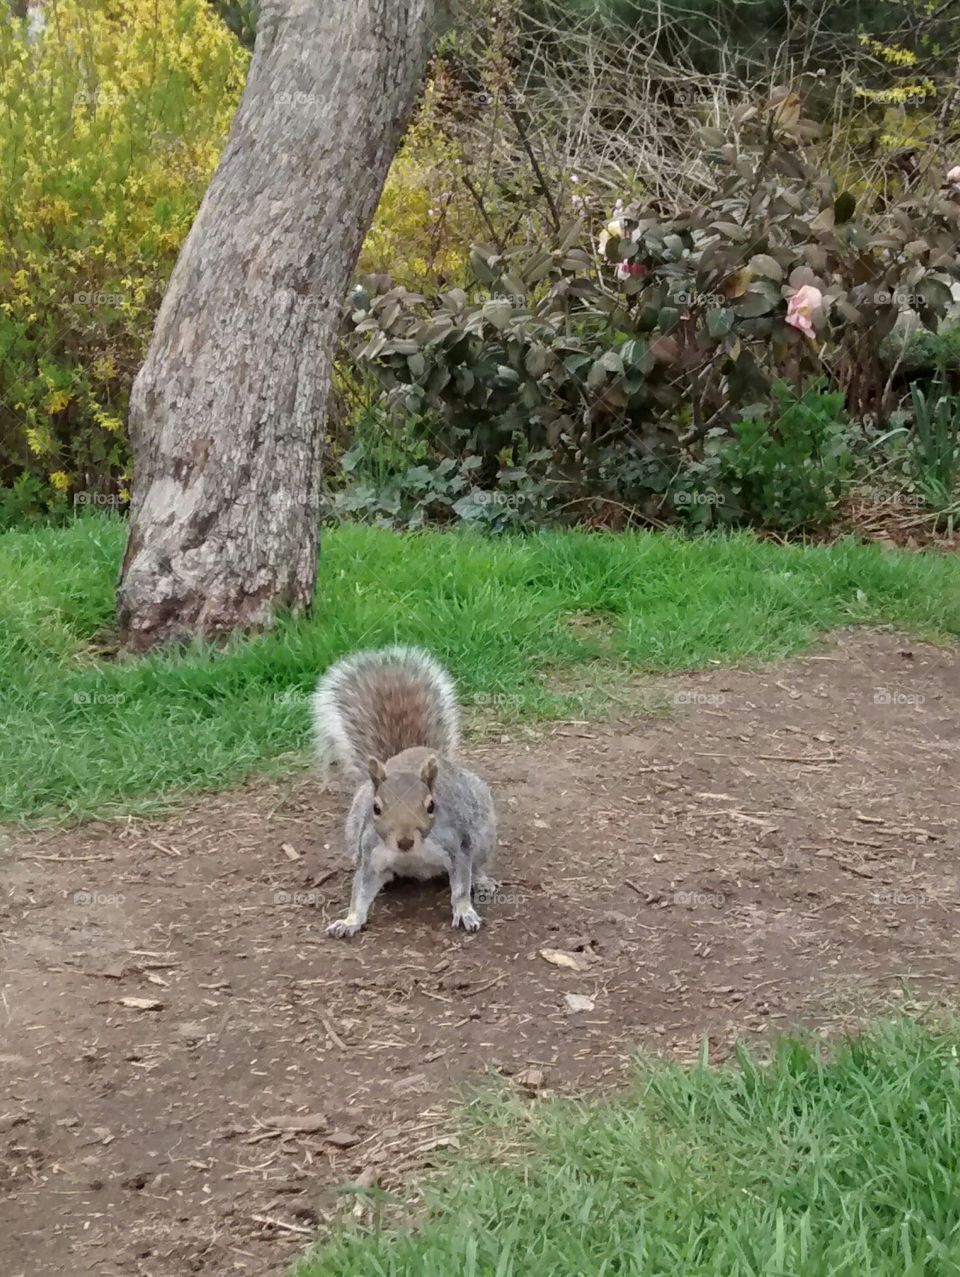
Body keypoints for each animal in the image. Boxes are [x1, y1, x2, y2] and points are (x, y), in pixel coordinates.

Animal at [311, 648, 497, 939]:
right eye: (376, 808)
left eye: (431, 805)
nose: (405, 841)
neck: (411, 854)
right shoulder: (370, 853)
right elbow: (359, 893)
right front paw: (349, 921)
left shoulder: (457, 845)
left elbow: (460, 886)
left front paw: (465, 912)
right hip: (354, 834)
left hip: (484, 831)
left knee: (477, 865)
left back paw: (481, 880)